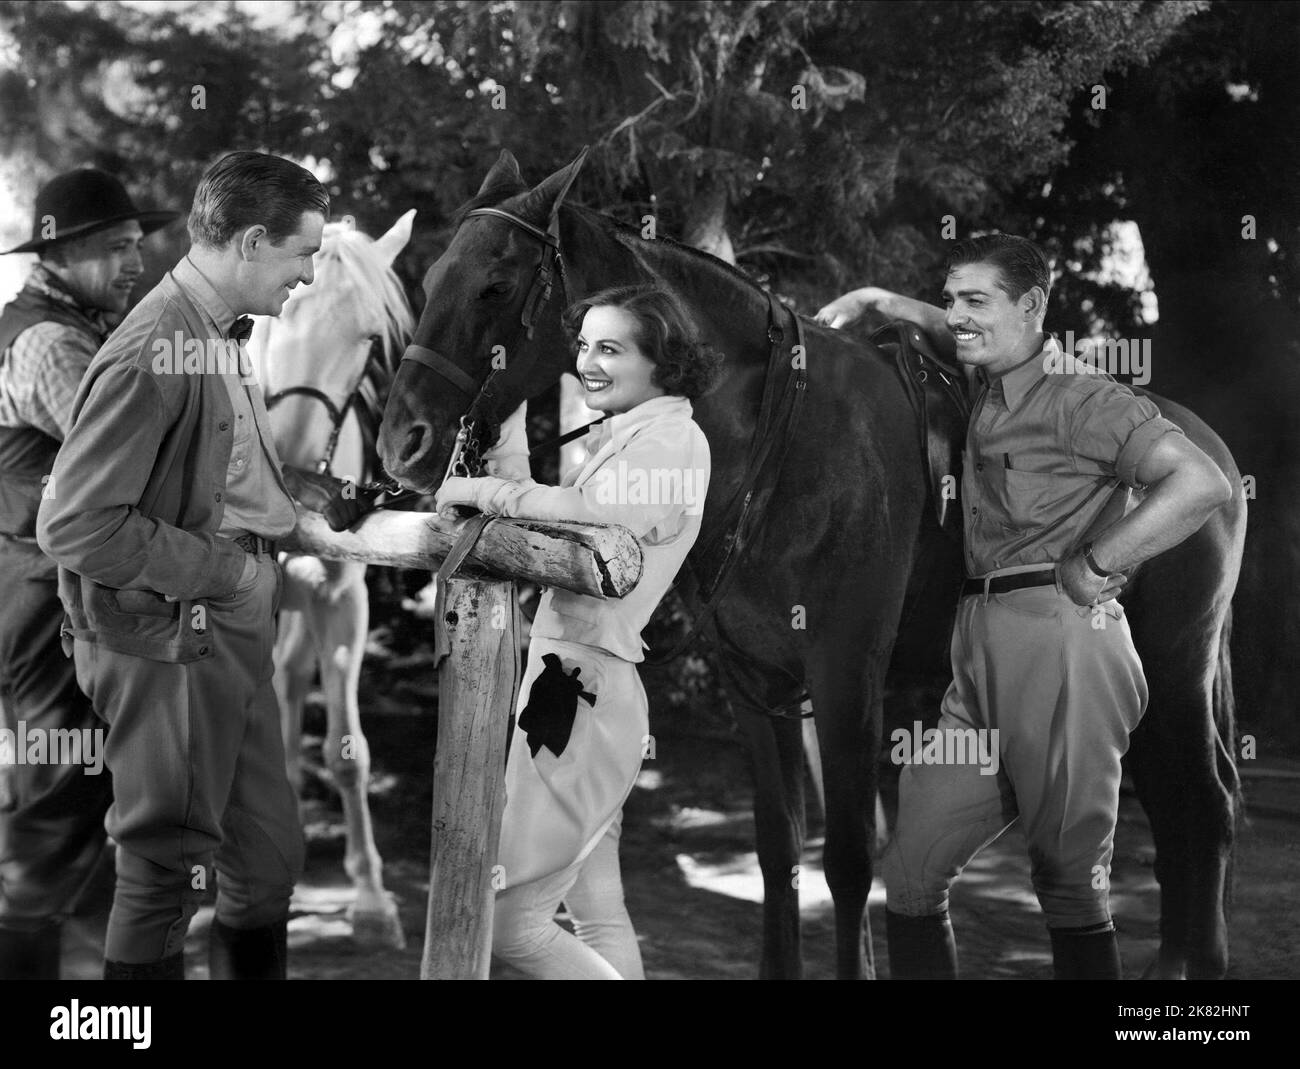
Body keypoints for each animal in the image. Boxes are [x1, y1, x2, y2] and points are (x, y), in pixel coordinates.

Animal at [374, 152, 1237, 988]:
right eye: (431, 276)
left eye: (494, 285)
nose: (401, 441)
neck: (780, 443)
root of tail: (1203, 443)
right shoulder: (754, 684)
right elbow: (779, 850)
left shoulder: (846, 674)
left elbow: (850, 863)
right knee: (1178, 811)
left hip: (1176, 667)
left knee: (1204, 807)